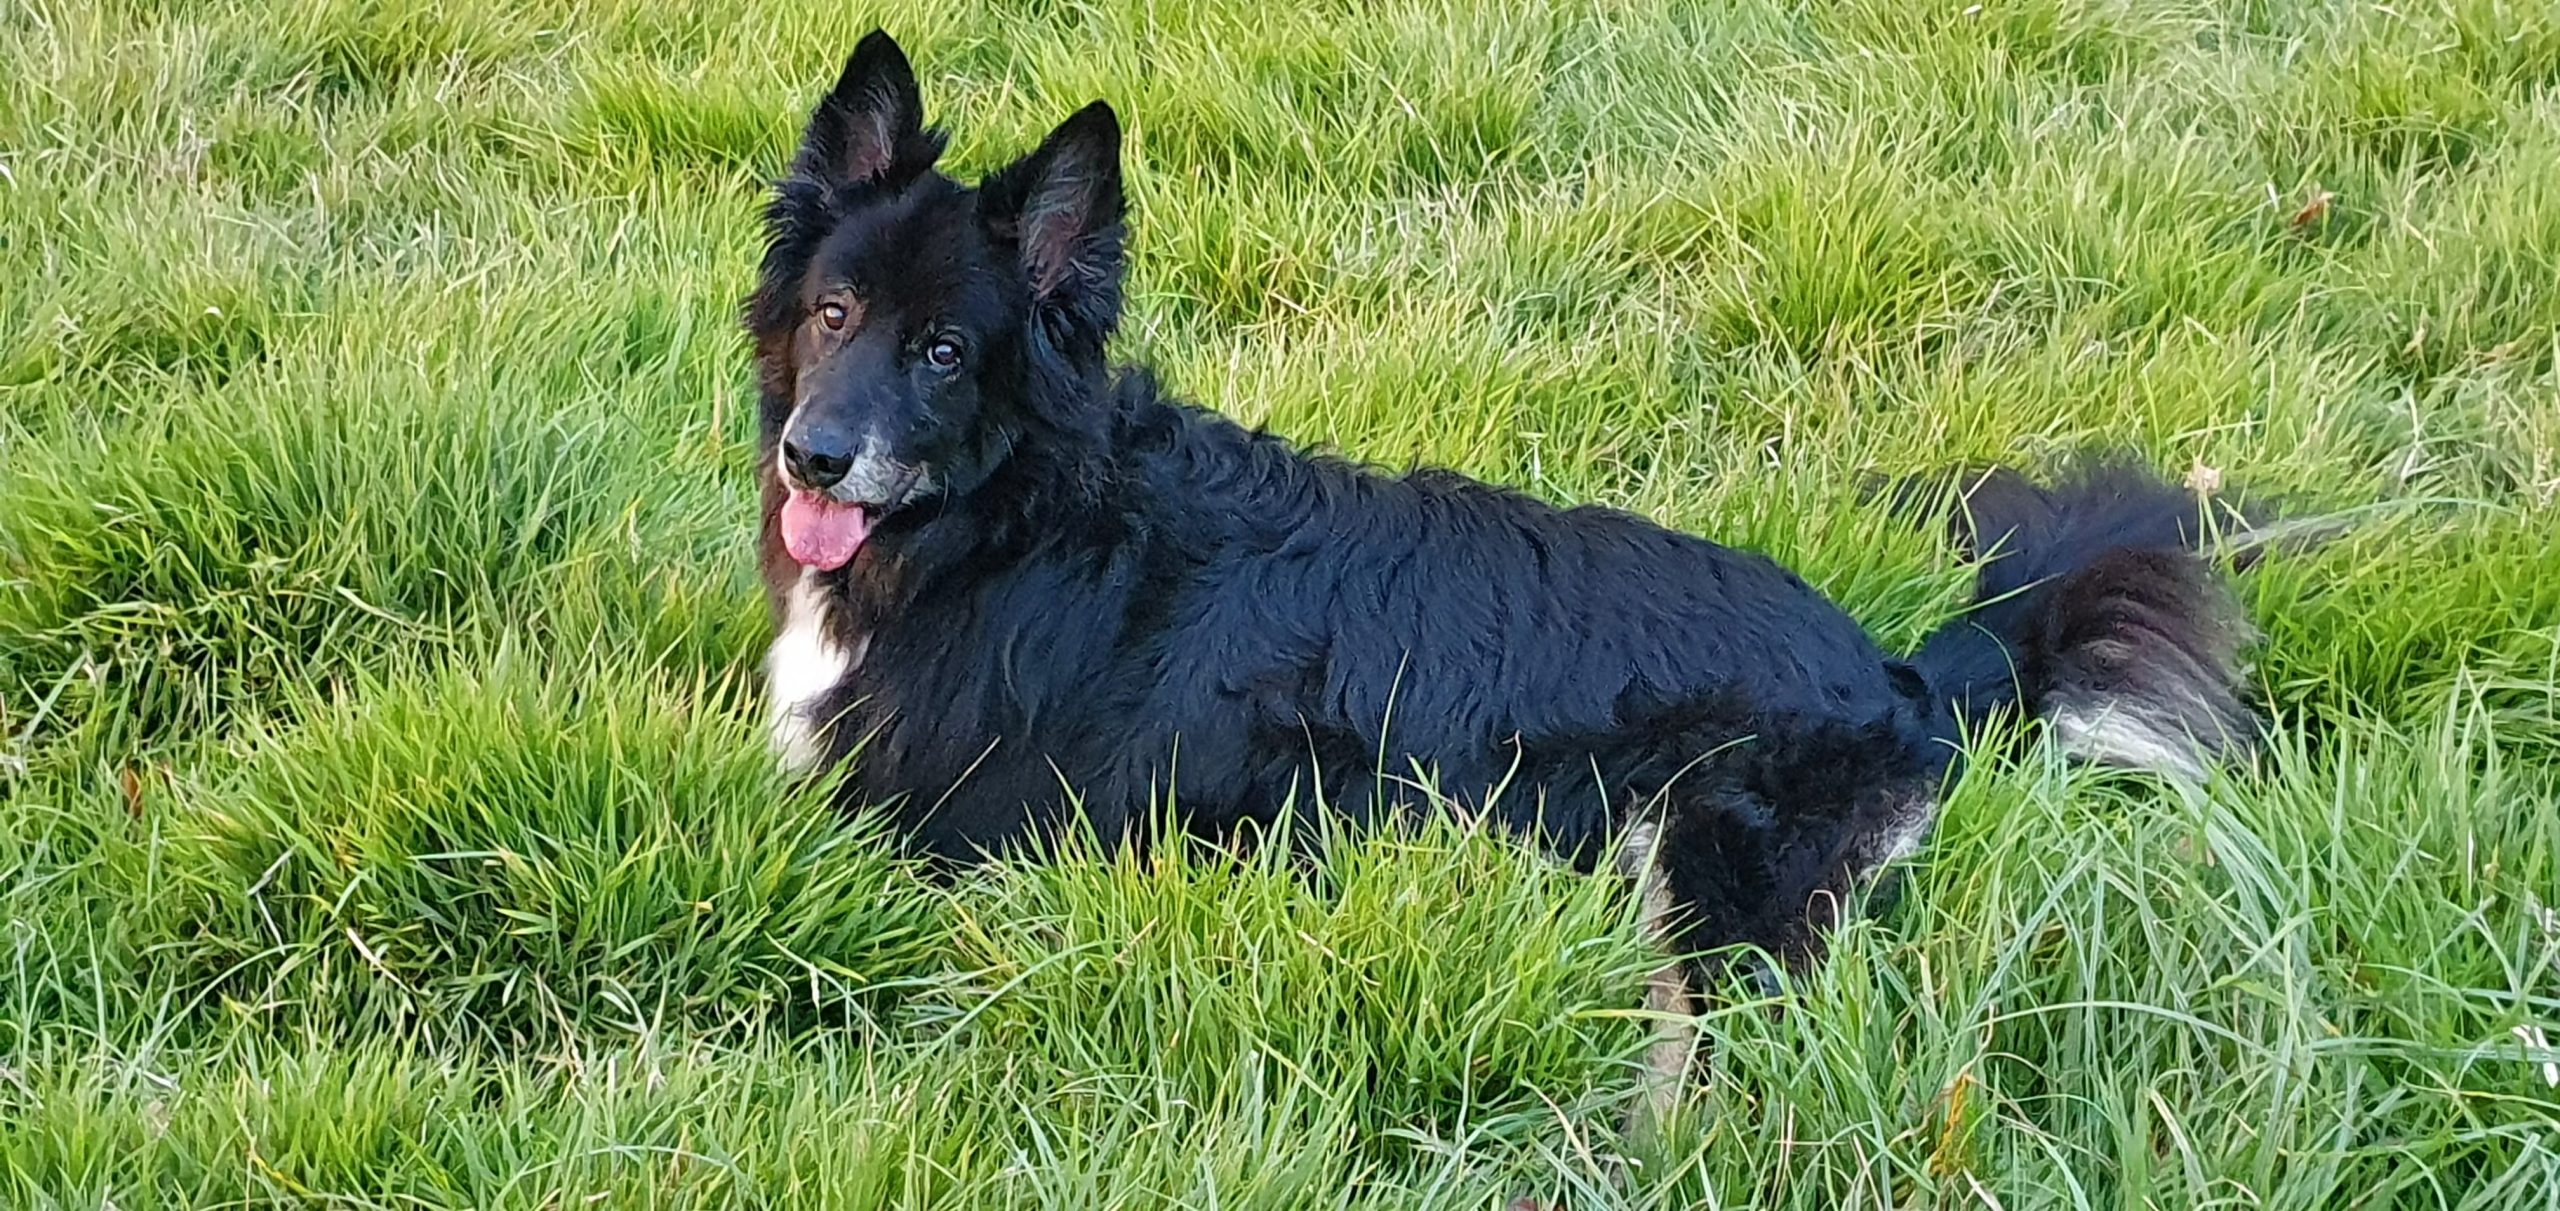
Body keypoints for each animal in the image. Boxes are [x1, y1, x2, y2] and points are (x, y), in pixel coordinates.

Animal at [747, 25, 2263, 1054]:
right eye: (833, 313)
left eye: (946, 351)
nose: (810, 456)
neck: (1017, 519)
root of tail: (1896, 675)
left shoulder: (942, 836)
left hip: (1694, 875)